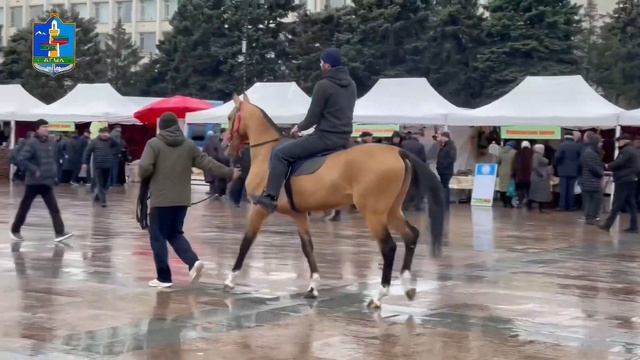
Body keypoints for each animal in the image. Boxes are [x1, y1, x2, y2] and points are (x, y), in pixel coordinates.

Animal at [222, 94, 442, 308]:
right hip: (392, 211)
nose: (225, 147)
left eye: (230, 117)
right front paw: (313, 287)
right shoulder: (299, 215)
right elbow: (307, 248)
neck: (268, 152)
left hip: (374, 214)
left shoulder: (259, 208)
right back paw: (407, 286)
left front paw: (230, 280)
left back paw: (380, 295)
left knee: (389, 247)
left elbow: (246, 242)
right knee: (411, 236)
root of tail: (397, 151)